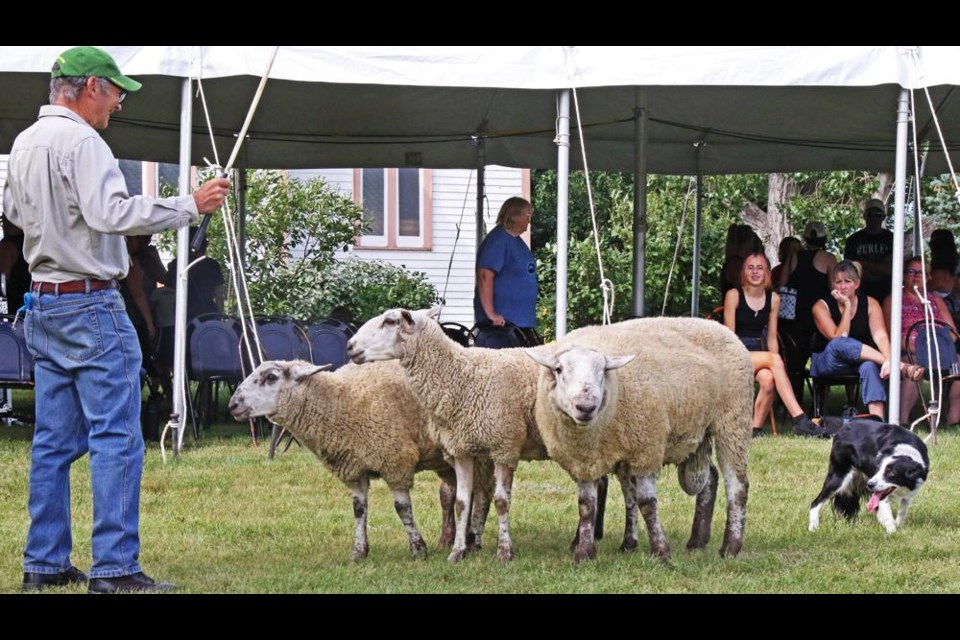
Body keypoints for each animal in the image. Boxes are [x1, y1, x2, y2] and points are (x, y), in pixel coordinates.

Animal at [228, 360, 492, 560]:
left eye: (271, 377)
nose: (233, 405)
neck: (342, 400)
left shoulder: (395, 461)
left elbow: (402, 509)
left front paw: (418, 548)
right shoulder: (354, 469)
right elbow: (358, 510)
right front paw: (359, 551)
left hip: (476, 453)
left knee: (481, 496)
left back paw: (474, 540)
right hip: (445, 461)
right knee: (457, 494)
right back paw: (454, 538)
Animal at [528, 318, 752, 564]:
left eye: (603, 371)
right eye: (559, 370)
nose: (585, 407)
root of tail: (718, 326)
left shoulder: (647, 450)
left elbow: (646, 504)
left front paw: (661, 552)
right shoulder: (586, 460)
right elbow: (587, 506)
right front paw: (585, 553)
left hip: (733, 422)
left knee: (738, 486)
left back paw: (730, 547)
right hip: (698, 431)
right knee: (710, 477)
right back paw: (697, 540)